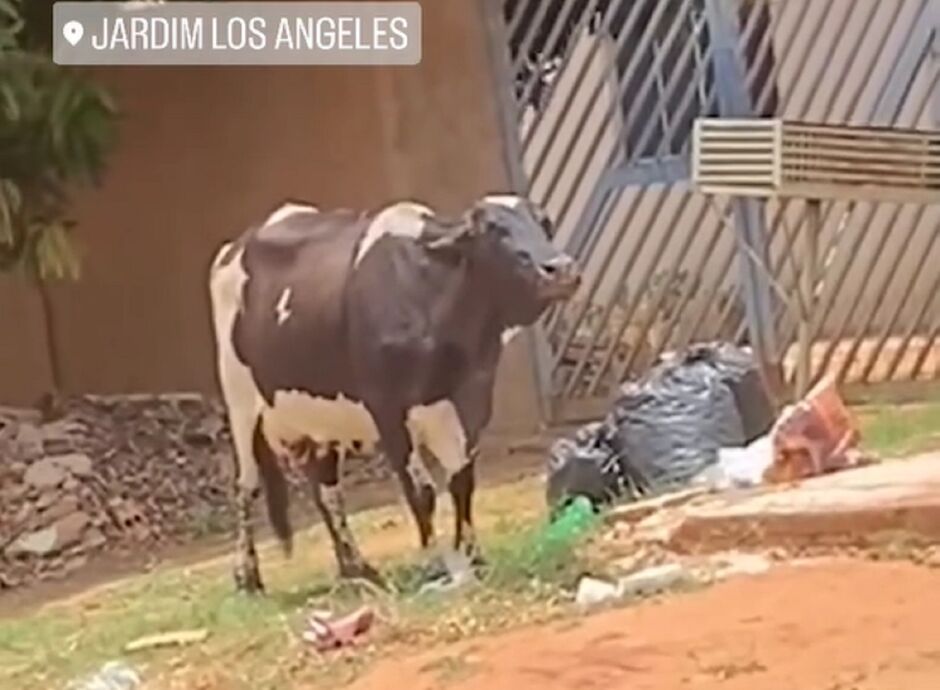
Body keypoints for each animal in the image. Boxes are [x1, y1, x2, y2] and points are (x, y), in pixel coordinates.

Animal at [207, 194, 580, 592]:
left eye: (544, 222)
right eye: (493, 229)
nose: (560, 269)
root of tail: (239, 244)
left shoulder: (469, 401)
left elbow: (462, 482)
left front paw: (475, 559)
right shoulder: (387, 409)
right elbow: (422, 491)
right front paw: (436, 564)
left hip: (321, 418)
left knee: (326, 489)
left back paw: (356, 568)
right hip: (240, 402)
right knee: (247, 486)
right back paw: (247, 577)